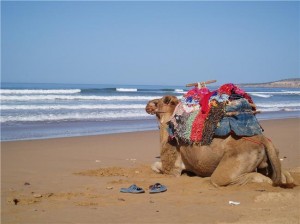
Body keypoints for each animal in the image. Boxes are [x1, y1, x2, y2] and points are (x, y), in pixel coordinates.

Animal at [146, 95, 294, 187]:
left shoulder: (172, 168)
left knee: (226, 179)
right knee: (281, 174)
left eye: (159, 102)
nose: (148, 106)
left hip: (235, 161)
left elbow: (156, 165)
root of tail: (263, 139)